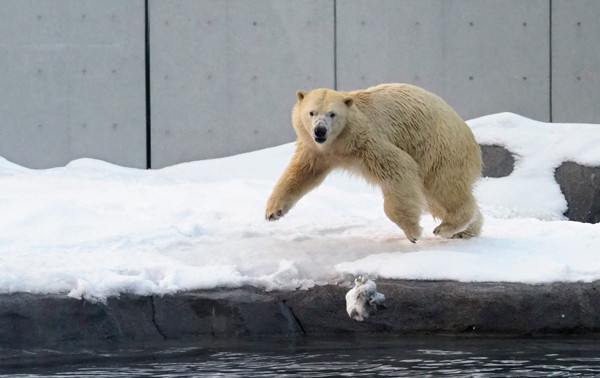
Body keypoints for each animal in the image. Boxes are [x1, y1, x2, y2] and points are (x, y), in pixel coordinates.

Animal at [264, 83, 480, 242]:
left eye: (332, 113)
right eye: (311, 112)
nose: (320, 130)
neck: (339, 142)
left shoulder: (366, 141)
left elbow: (399, 167)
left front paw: (413, 232)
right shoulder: (316, 151)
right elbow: (300, 173)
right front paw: (273, 211)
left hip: (438, 148)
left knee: (444, 188)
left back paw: (447, 227)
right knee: (433, 197)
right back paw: (466, 231)